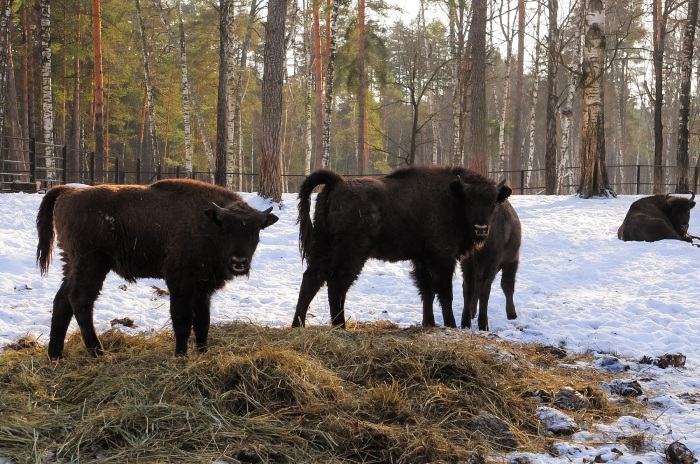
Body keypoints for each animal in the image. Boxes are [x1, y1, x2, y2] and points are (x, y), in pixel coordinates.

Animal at [34, 179, 276, 358]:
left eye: (256, 231)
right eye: (225, 228)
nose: (239, 262)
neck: (208, 223)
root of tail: (69, 192)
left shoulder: (203, 288)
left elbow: (203, 322)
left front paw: (202, 353)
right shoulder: (179, 283)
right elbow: (182, 319)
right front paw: (181, 356)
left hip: (73, 264)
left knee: (62, 301)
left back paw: (55, 355)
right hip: (91, 265)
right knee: (80, 301)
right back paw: (98, 352)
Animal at [292, 167, 512, 330]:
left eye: (493, 202)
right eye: (468, 200)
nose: (481, 229)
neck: (452, 199)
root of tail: (338, 182)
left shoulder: (422, 259)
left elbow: (427, 291)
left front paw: (428, 323)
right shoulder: (443, 258)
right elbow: (444, 292)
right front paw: (450, 325)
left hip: (323, 246)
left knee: (312, 278)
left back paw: (298, 325)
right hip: (353, 252)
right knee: (337, 283)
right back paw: (340, 326)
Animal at [460, 198, 520, 332]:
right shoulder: (511, 260)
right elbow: (507, 285)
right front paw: (512, 314)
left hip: (469, 263)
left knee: (469, 287)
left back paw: (466, 321)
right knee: (484, 290)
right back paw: (483, 324)